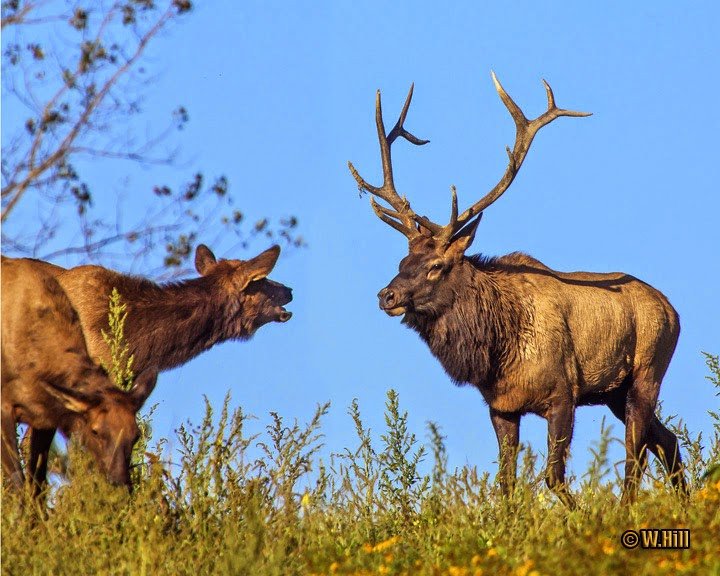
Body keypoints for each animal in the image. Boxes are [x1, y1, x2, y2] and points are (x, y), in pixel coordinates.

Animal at [1, 256, 157, 496]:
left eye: (136, 435)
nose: (119, 485)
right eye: (95, 431)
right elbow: (17, 484)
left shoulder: (45, 419)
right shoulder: (4, 408)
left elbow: (37, 485)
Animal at [352, 73, 688, 508]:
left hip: (648, 369)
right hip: (615, 391)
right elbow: (506, 484)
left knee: (637, 455)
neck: (498, 349)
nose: (386, 296)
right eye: (401, 262)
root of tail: (673, 311)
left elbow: (553, 476)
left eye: (435, 266)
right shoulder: (501, 406)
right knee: (668, 441)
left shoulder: (564, 393)